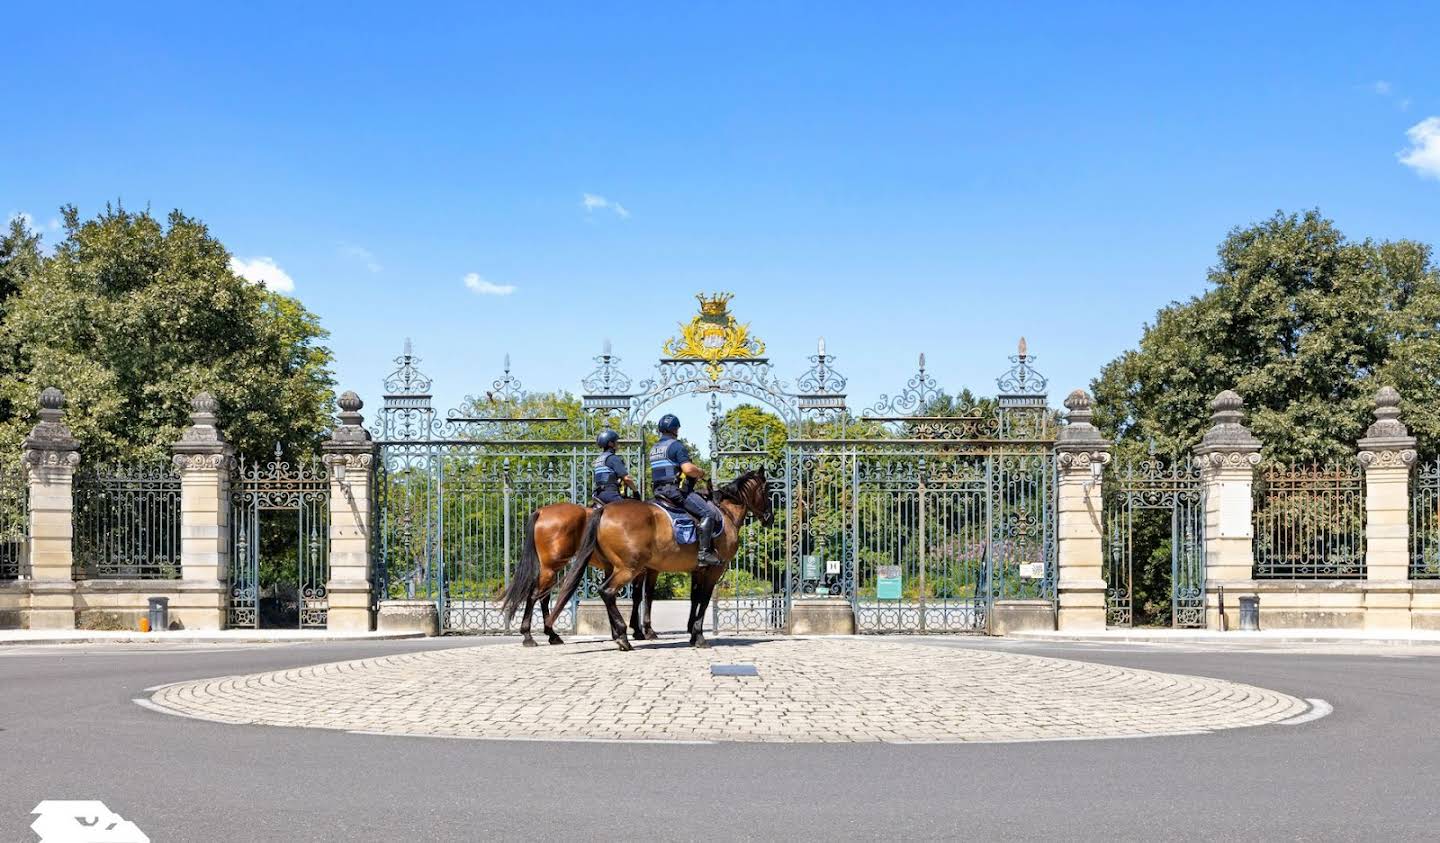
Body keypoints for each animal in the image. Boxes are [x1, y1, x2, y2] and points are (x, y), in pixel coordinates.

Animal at [501, 504, 662, 648]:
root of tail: (541, 511)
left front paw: (621, 632)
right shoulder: (644, 570)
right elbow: (644, 596)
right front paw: (643, 631)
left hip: (552, 569)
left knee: (543, 597)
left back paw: (551, 634)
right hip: (550, 568)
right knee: (534, 595)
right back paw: (529, 636)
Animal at [547, 466, 777, 651]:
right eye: (766, 490)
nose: (770, 518)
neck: (725, 513)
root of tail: (603, 509)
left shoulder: (697, 570)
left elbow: (693, 598)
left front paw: (691, 633)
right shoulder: (712, 571)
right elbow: (703, 600)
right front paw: (699, 636)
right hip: (627, 568)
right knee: (607, 591)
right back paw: (622, 636)